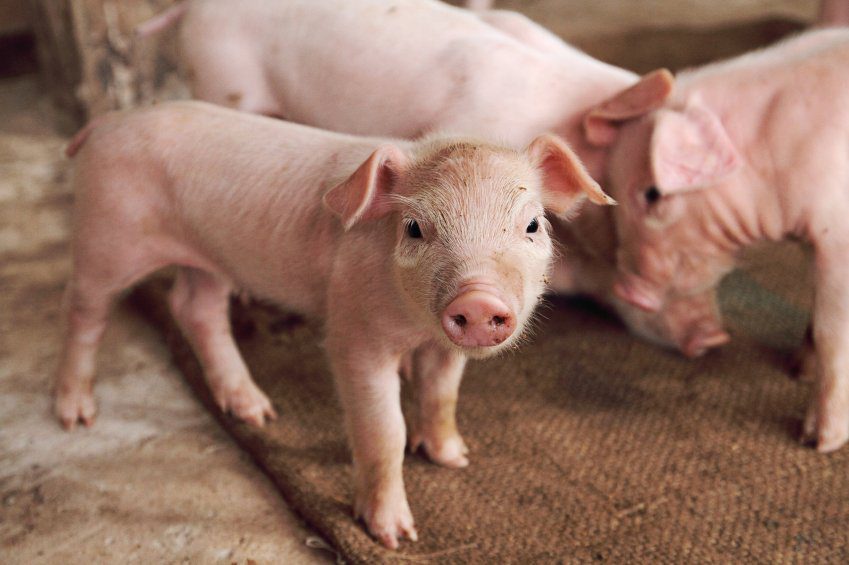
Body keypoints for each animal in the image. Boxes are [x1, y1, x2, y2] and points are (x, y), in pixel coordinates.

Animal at [55, 101, 613, 547]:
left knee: (194, 307)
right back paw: (76, 416)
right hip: (106, 235)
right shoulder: (353, 331)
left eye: (533, 225)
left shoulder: (441, 347)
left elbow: (442, 393)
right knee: (84, 310)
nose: (477, 299)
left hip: (210, 259)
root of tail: (106, 124)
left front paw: (455, 458)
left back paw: (257, 413)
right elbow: (384, 429)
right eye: (415, 229)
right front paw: (395, 536)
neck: (413, 326)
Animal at [581, 29, 849, 452]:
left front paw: (817, 441)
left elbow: (831, 331)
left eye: (653, 194)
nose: (627, 288)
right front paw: (797, 368)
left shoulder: (838, 238)